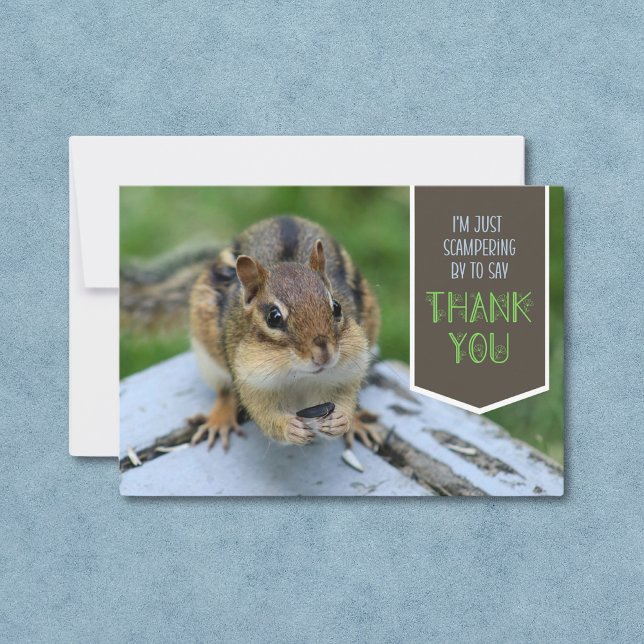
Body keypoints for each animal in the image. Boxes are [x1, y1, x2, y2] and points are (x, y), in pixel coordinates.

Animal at [188, 215, 383, 451]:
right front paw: (290, 429)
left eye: (337, 307)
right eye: (273, 317)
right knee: (225, 393)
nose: (323, 355)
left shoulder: (347, 373)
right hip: (209, 362)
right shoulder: (250, 381)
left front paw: (343, 419)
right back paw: (220, 421)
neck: (299, 375)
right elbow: (264, 416)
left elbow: (347, 398)